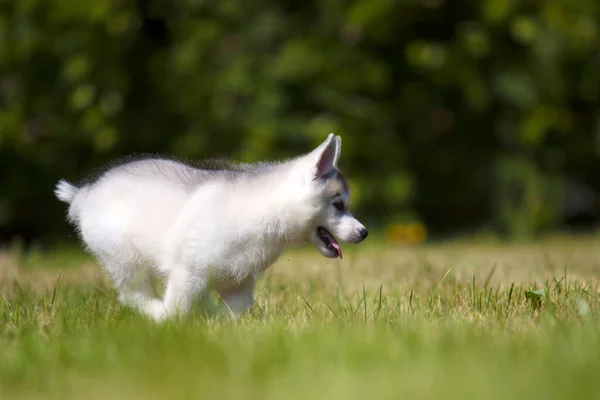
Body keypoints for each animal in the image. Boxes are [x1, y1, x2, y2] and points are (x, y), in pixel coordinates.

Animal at [56, 133, 368, 320]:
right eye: (339, 205)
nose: (364, 233)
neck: (263, 212)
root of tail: (84, 193)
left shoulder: (240, 283)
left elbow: (234, 315)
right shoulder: (187, 273)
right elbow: (175, 310)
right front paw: (170, 321)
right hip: (125, 259)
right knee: (132, 295)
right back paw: (154, 311)